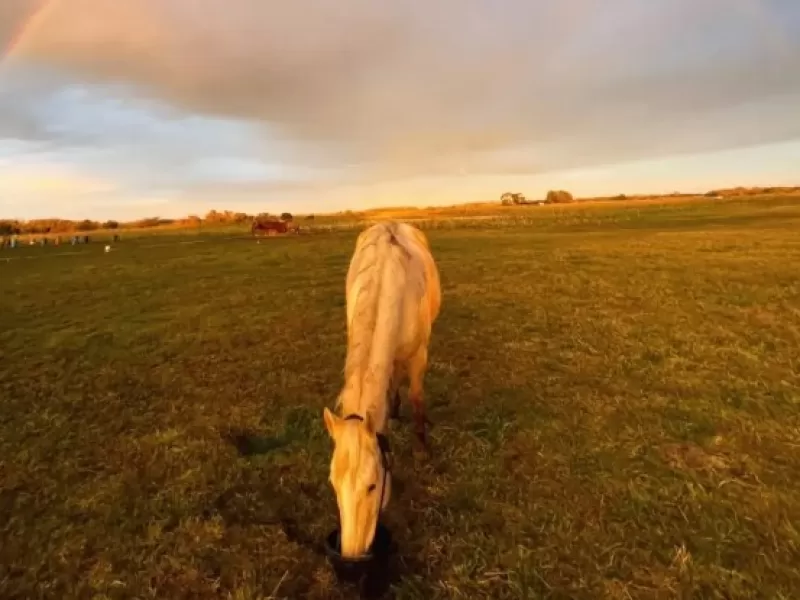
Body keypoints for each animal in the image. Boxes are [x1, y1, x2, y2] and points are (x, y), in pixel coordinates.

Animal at [322, 221, 442, 557]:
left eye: (373, 486)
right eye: (333, 484)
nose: (352, 555)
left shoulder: (418, 356)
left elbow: (417, 397)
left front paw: (421, 449)